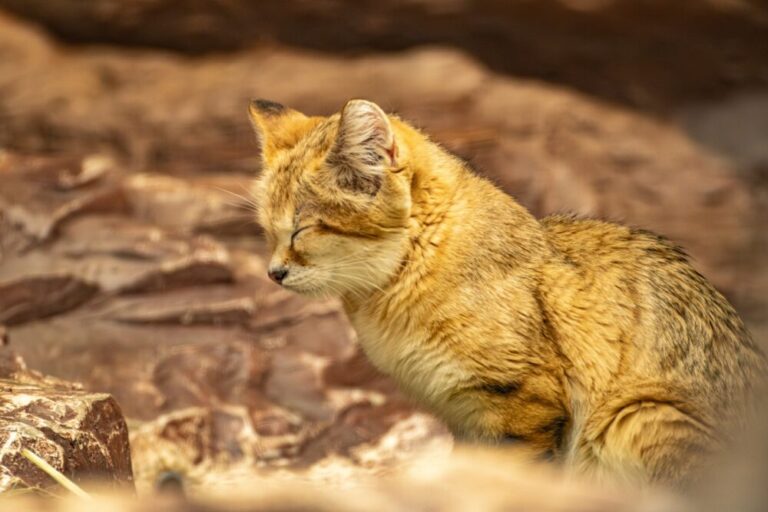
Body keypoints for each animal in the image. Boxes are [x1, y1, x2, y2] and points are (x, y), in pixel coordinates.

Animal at [249, 98, 764, 486]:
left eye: (302, 230)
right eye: (268, 232)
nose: (273, 273)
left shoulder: (523, 407)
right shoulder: (463, 416)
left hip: (636, 418)